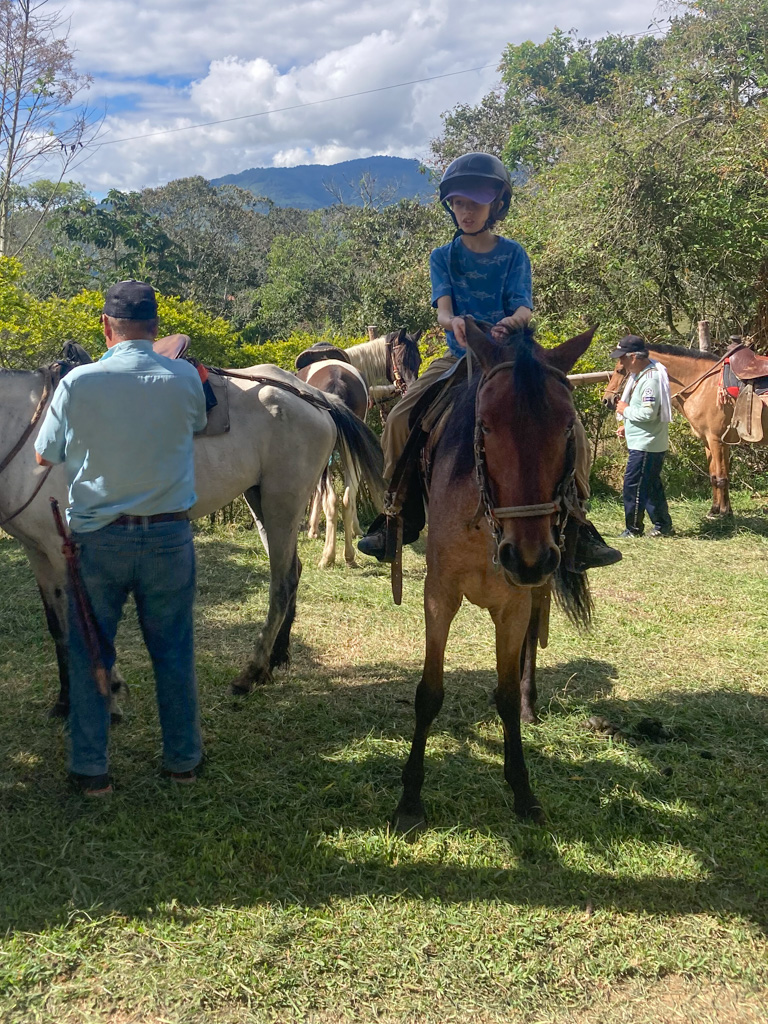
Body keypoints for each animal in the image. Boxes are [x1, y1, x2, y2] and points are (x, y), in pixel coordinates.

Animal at [0, 364, 385, 716]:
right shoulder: (39, 554)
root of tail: (314, 397)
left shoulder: (64, 551)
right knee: (292, 572)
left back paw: (252, 672)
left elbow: (84, 626)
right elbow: (58, 626)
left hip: (283, 502)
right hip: (261, 499)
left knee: (281, 583)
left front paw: (106, 693)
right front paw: (66, 701)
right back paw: (273, 661)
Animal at [393, 317, 598, 831]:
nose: (527, 557)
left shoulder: (513, 603)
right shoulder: (438, 596)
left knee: (531, 643)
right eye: (484, 426)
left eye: (567, 428)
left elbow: (504, 694)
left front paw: (523, 790)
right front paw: (410, 798)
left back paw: (529, 705)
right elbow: (428, 693)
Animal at [602, 344, 768, 520]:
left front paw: (723, 513)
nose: (606, 400)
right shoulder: (711, 441)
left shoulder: (716, 440)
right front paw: (717, 509)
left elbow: (722, 477)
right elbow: (715, 476)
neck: (703, 384)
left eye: (620, 370)